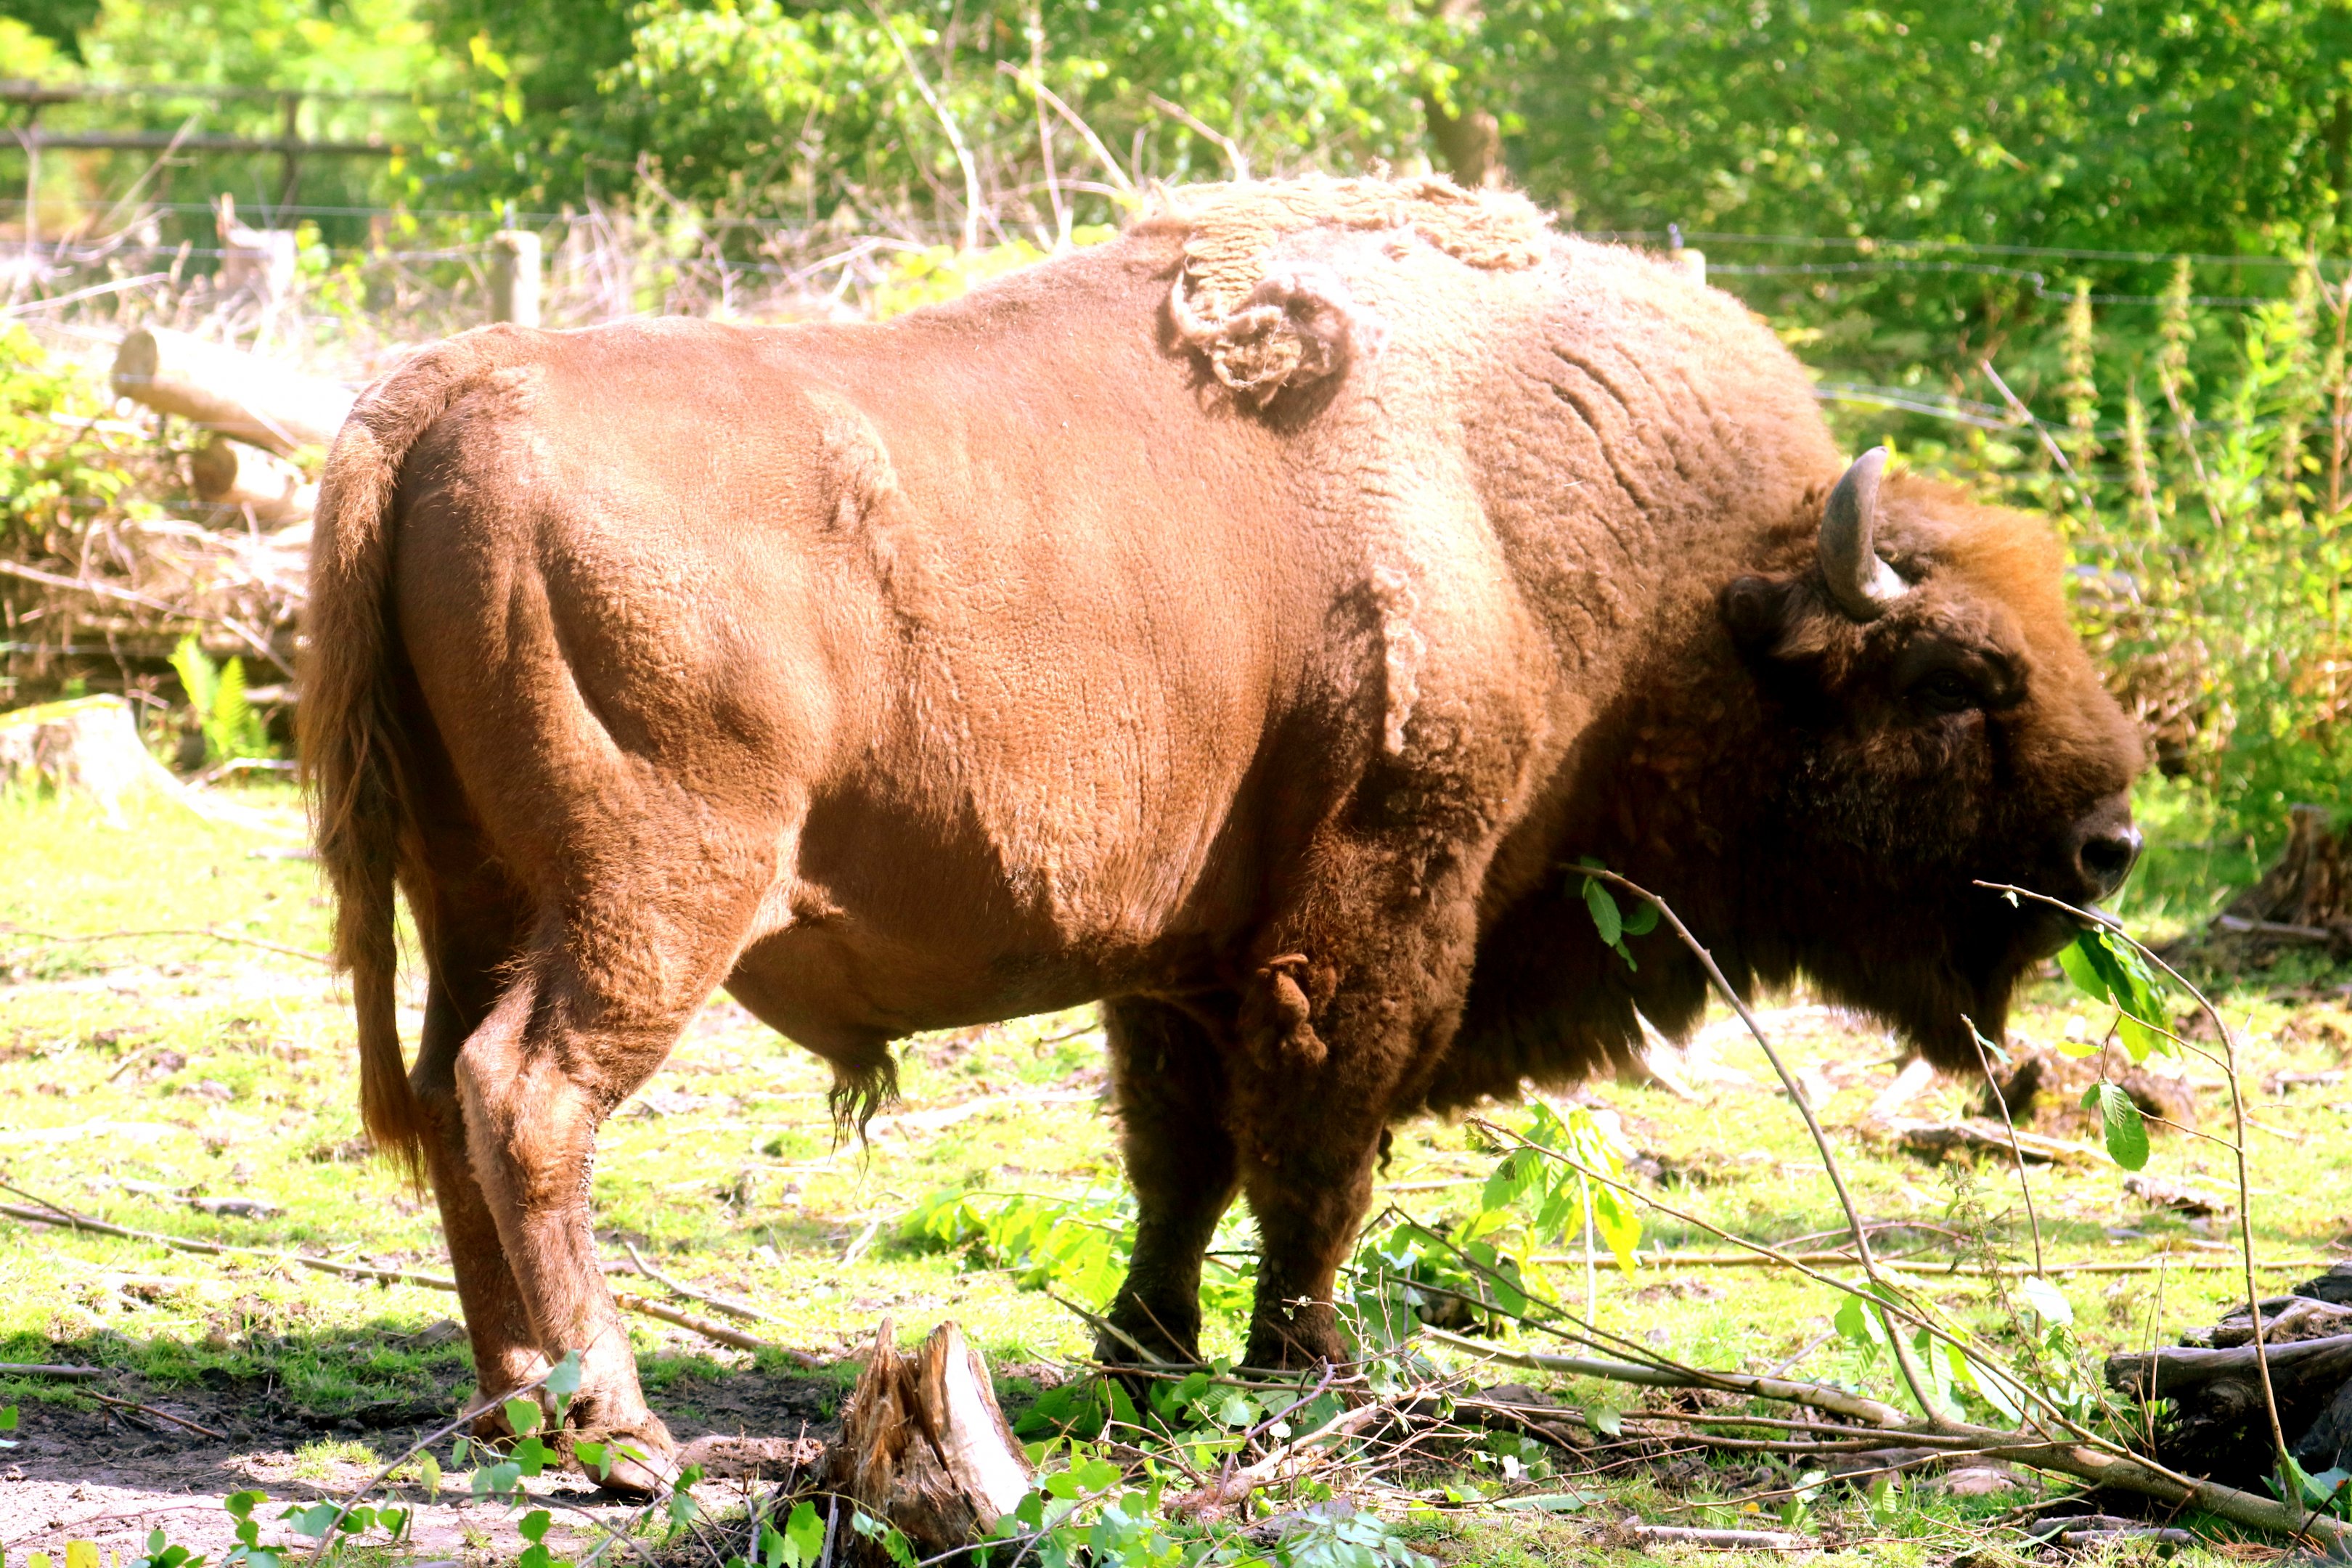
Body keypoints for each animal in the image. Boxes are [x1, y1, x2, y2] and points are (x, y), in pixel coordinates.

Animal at [304, 177, 2142, 1495]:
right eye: (1963, 676)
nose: (2109, 842)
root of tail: (435, 400)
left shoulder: (1179, 953)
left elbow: (1181, 1157)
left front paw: (1148, 1359)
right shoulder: (1373, 902)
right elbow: (1316, 1149)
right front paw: (1303, 1371)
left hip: (476, 892)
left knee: (454, 1099)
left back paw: (513, 1409)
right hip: (653, 896)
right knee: (526, 1095)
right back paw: (615, 1436)